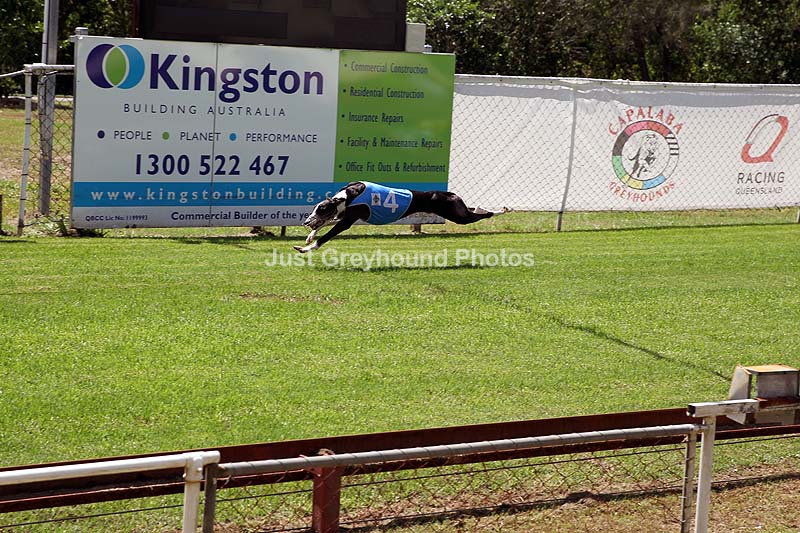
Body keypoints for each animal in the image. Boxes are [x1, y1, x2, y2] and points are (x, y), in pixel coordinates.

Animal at [294, 181, 508, 253]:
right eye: (315, 210)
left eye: (321, 209)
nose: (306, 221)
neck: (349, 195)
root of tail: (449, 194)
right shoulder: (344, 215)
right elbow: (324, 225)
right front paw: (309, 236)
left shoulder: (347, 220)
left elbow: (325, 237)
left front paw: (306, 248)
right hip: (458, 211)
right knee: (474, 211)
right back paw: (484, 207)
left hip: (456, 215)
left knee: (481, 216)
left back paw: (502, 210)